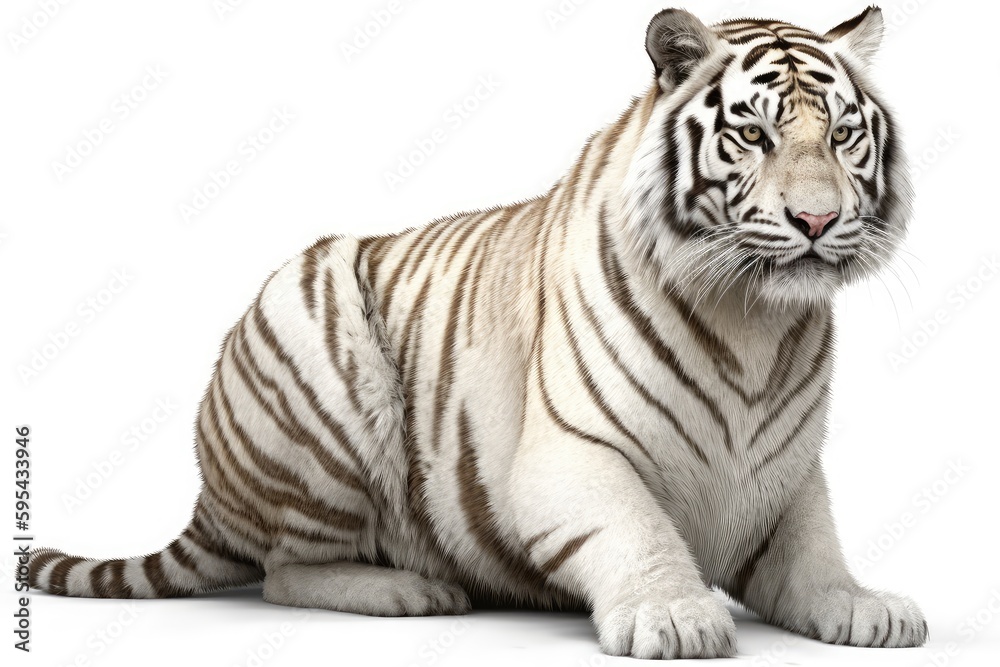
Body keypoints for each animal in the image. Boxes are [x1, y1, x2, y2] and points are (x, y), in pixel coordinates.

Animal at [30, 6, 927, 660]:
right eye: (754, 135)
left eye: (842, 133)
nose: (817, 219)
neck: (754, 321)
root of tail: (212, 495)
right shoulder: (568, 457)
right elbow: (636, 526)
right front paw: (675, 615)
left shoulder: (784, 472)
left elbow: (814, 547)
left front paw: (865, 605)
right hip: (312, 340)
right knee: (286, 568)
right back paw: (407, 591)